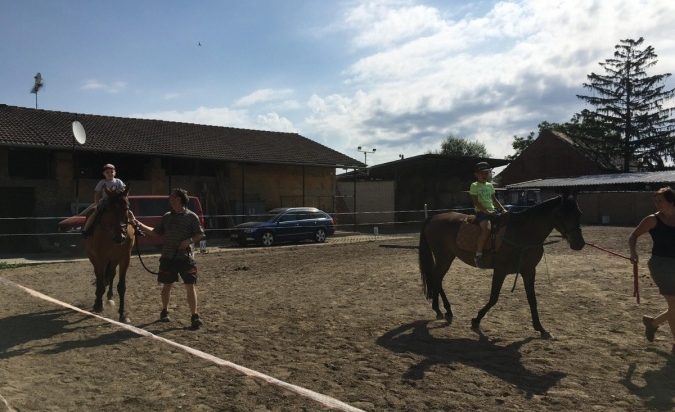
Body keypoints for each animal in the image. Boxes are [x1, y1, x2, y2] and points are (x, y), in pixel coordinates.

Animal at [84, 185, 136, 324]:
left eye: (126, 208)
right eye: (109, 209)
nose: (120, 237)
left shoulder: (124, 257)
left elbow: (121, 286)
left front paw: (123, 314)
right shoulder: (100, 257)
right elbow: (101, 281)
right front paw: (98, 305)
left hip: (114, 259)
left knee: (111, 274)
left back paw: (110, 297)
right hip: (94, 257)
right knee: (99, 276)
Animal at [418, 194, 588, 338]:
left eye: (579, 214)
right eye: (562, 215)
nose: (579, 243)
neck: (522, 233)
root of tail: (433, 217)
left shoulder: (528, 271)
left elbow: (532, 299)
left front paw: (541, 328)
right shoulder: (500, 271)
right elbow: (494, 298)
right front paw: (476, 320)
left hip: (448, 257)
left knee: (437, 279)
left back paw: (443, 310)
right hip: (443, 257)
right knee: (436, 279)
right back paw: (443, 309)